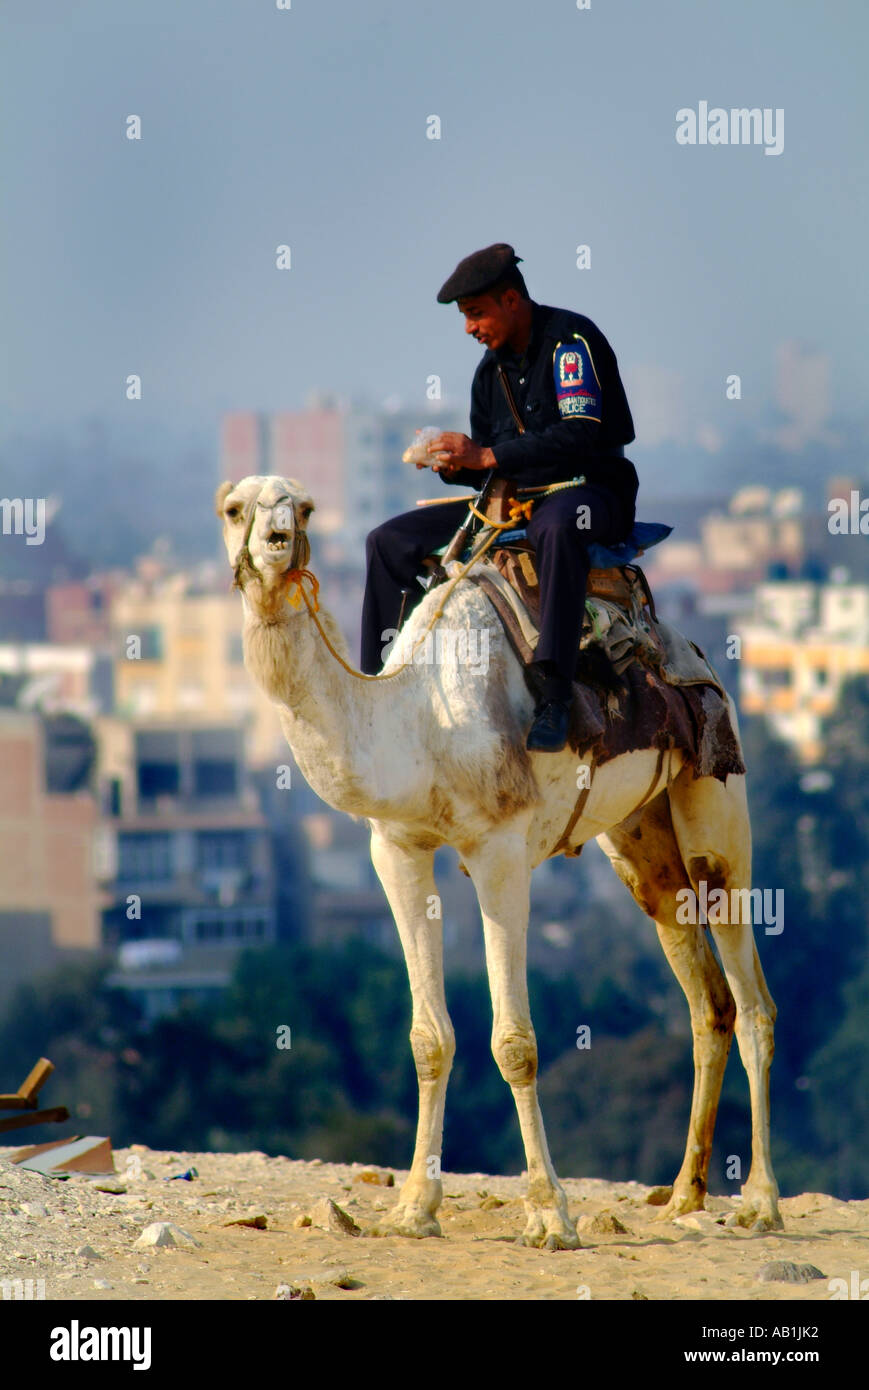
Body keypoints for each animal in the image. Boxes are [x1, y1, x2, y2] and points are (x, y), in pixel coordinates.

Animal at [215, 472, 778, 1245]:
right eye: (233, 509)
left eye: (303, 510)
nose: (276, 545)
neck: (419, 715)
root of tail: (690, 648)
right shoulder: (396, 848)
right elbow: (428, 1037)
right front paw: (413, 1209)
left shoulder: (500, 850)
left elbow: (515, 1043)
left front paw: (548, 1214)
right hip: (640, 839)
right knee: (706, 999)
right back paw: (685, 1194)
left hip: (716, 791)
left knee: (751, 997)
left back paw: (759, 1201)